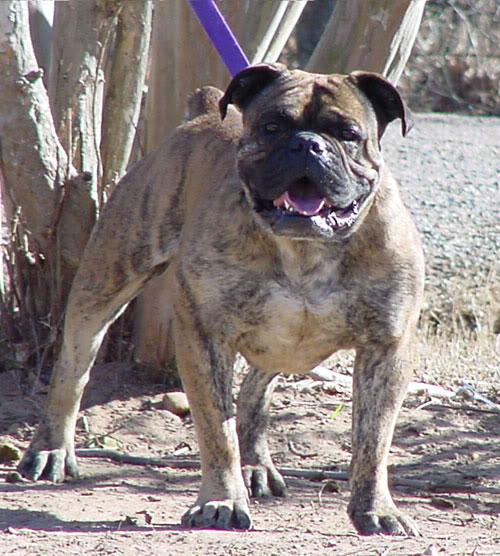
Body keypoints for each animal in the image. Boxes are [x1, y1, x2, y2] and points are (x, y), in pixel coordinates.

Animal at [20, 63, 426, 536]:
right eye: (272, 127)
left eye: (348, 134)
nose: (307, 144)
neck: (305, 250)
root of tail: (202, 114)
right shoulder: (203, 336)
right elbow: (217, 430)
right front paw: (221, 502)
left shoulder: (386, 350)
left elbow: (374, 439)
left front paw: (376, 509)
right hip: (105, 283)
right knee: (73, 368)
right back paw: (51, 449)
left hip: (283, 346)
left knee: (255, 392)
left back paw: (256, 464)